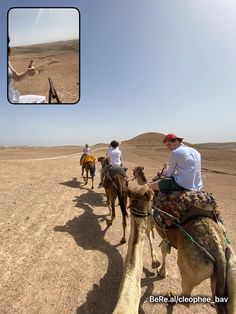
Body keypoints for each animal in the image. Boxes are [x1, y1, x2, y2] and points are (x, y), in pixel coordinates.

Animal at [133, 166, 236, 312]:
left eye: (134, 172)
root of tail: (219, 251)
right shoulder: (167, 236)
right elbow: (164, 248)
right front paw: (162, 270)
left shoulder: (151, 218)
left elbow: (150, 236)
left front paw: (156, 265)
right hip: (230, 272)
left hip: (190, 269)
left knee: (186, 297)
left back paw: (170, 297)